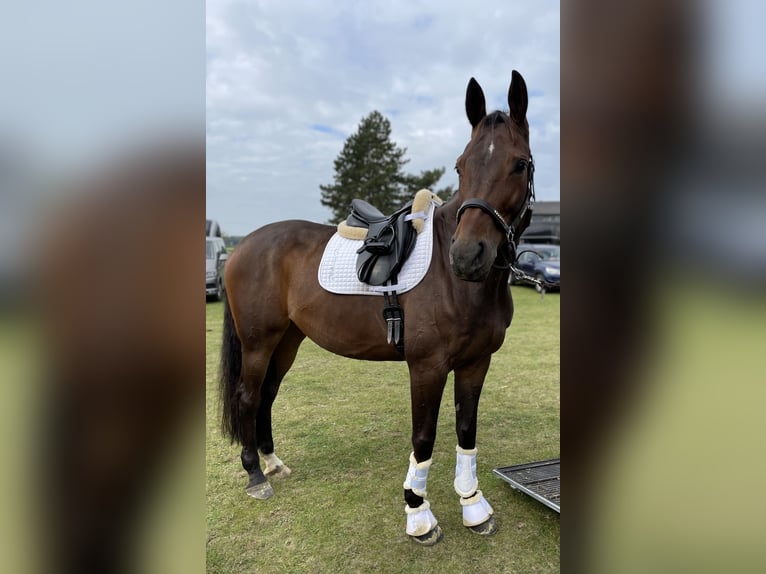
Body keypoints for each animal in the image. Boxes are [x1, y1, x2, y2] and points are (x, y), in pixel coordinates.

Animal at [219, 71, 536, 544]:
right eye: (461, 166)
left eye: (519, 164)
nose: (466, 256)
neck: (458, 285)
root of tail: (241, 248)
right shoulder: (426, 366)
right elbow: (423, 438)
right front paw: (418, 515)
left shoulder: (477, 362)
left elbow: (466, 432)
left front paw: (473, 507)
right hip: (258, 342)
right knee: (248, 395)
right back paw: (256, 476)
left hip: (288, 340)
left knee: (268, 394)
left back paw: (272, 462)